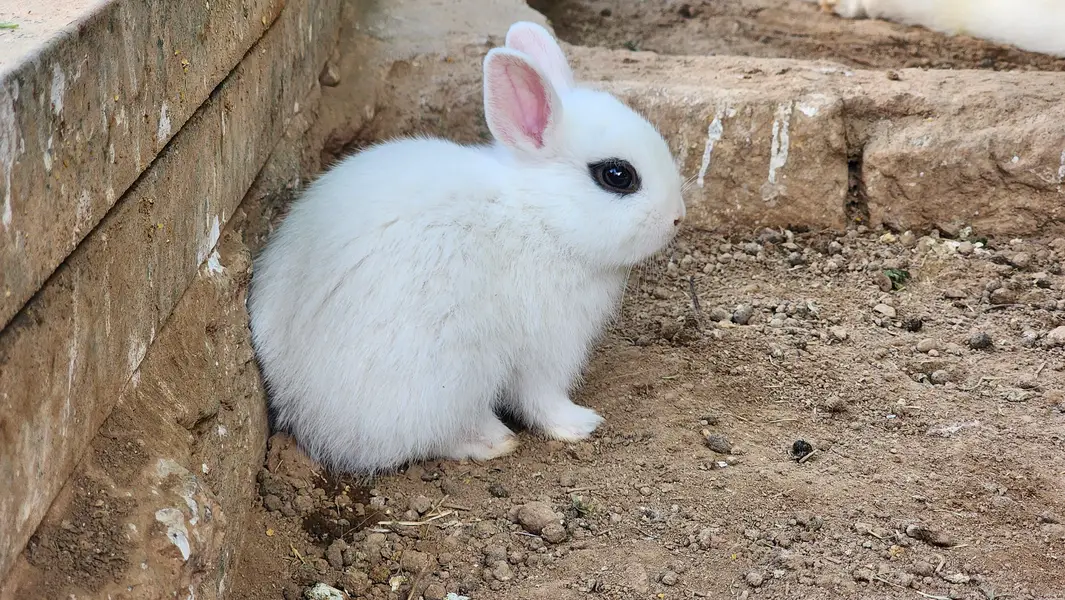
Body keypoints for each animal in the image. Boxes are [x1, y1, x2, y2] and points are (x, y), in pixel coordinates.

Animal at [247, 21, 686, 474]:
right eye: (617, 175)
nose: (678, 217)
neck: (540, 216)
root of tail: (302, 409)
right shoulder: (547, 346)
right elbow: (541, 398)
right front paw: (580, 424)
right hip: (449, 375)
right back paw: (493, 440)